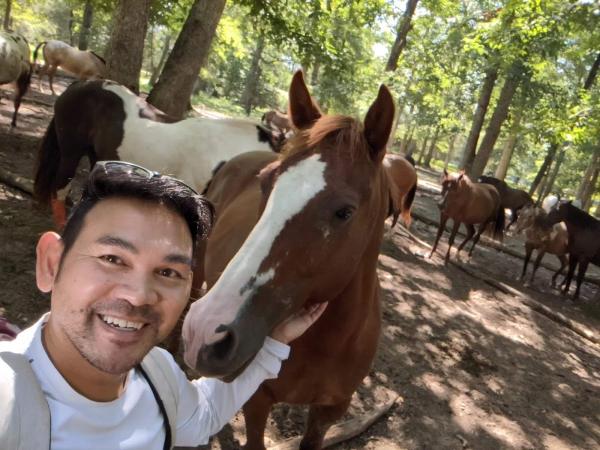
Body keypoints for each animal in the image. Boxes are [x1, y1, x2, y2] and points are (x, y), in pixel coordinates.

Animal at [182, 72, 398, 448]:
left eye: (345, 212)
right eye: (266, 184)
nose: (206, 331)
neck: (327, 345)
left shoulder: (329, 413)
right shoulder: (257, 402)